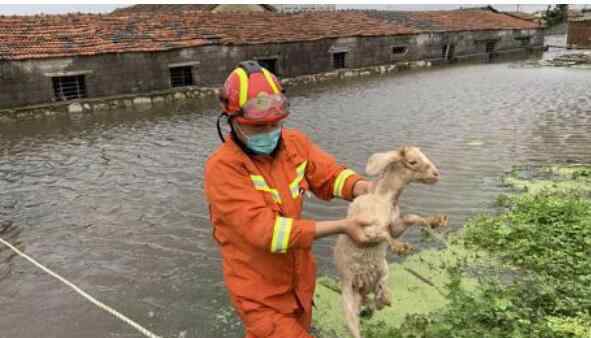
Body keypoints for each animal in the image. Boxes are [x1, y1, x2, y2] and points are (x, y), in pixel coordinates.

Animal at [332, 145, 448, 338]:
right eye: (412, 161)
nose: (436, 174)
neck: (384, 199)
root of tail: (363, 288)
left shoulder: (396, 225)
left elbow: (410, 217)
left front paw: (436, 221)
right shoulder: (366, 230)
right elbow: (384, 233)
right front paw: (401, 247)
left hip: (383, 270)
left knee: (378, 297)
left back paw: (384, 298)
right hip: (348, 300)